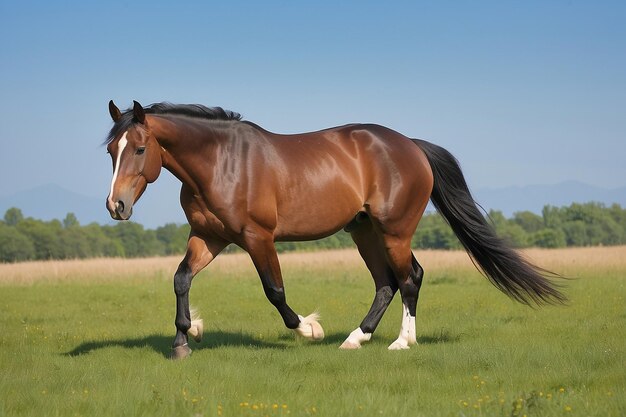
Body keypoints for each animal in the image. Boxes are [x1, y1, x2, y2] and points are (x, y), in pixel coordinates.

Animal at [105, 100, 564, 358]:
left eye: (140, 149)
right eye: (112, 149)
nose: (116, 206)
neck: (222, 162)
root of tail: (412, 146)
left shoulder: (258, 238)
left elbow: (275, 292)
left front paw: (309, 329)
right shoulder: (210, 237)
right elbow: (181, 278)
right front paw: (186, 337)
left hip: (394, 231)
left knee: (409, 278)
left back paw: (402, 343)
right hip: (364, 231)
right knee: (386, 283)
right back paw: (356, 339)